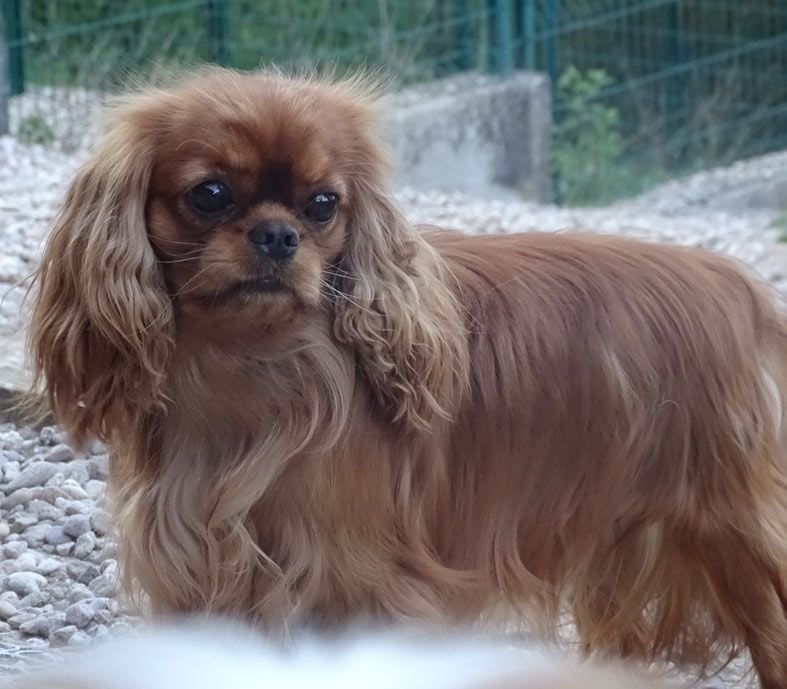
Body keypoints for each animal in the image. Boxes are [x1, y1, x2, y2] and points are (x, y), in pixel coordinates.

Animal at [27, 67, 787, 684]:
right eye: (210, 194)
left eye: (323, 203)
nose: (278, 235)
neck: (249, 360)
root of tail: (740, 289)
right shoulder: (201, 569)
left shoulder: (356, 580)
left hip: (739, 534)